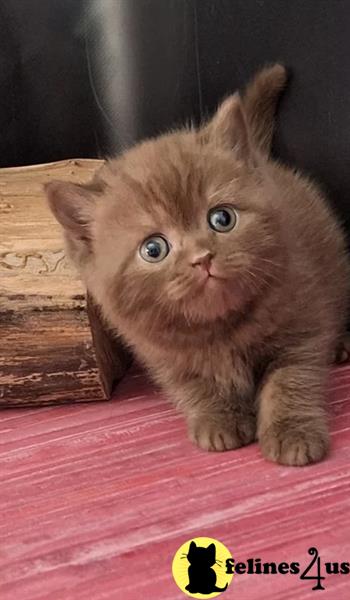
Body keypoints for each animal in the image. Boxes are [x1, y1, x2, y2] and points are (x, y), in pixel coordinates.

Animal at [46, 67, 350, 468]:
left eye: (222, 218)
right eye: (154, 249)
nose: (202, 258)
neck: (219, 328)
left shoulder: (301, 324)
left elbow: (291, 379)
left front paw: (292, 434)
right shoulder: (163, 354)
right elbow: (196, 387)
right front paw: (218, 421)